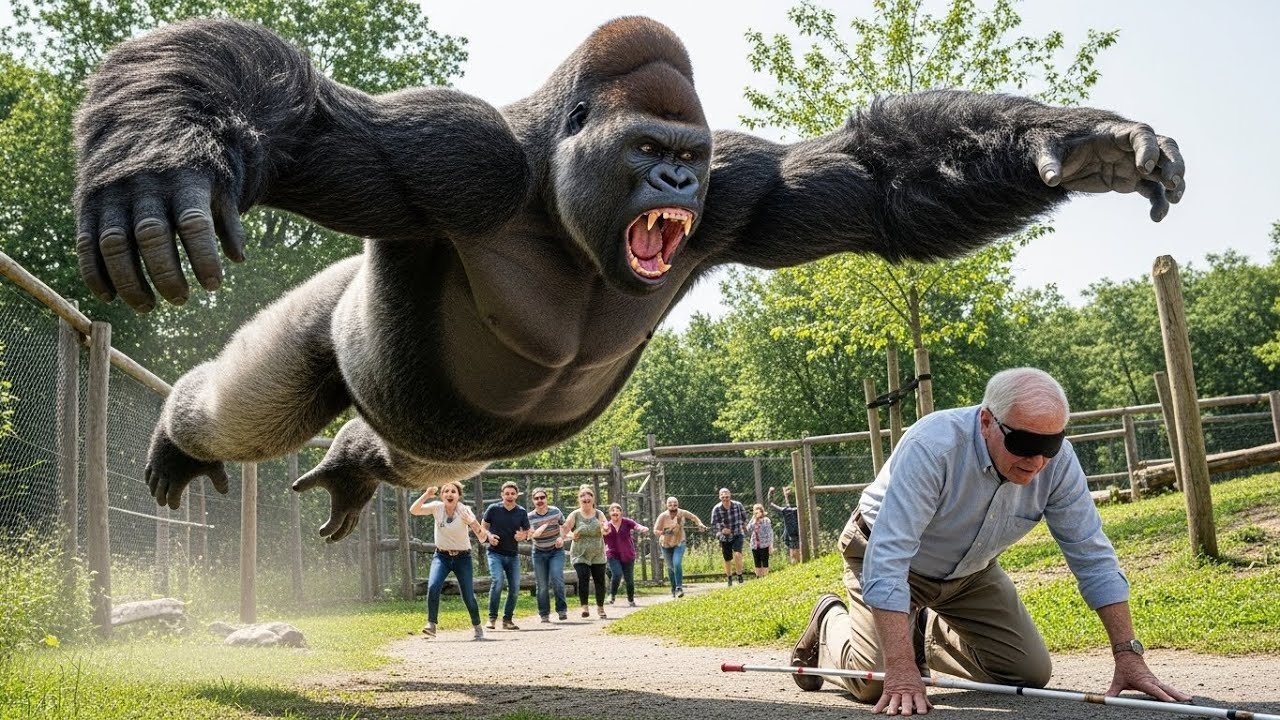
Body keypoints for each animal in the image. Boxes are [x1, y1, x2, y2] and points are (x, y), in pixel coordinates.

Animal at [72, 17, 1185, 542]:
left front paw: (1082, 142)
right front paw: (158, 149)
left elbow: (880, 184)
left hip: (439, 448)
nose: (674, 181)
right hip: (339, 330)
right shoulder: (452, 152)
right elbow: (304, 116)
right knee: (253, 396)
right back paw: (177, 429)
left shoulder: (744, 187)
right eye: (648, 147)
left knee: (399, 458)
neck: (564, 198)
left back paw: (350, 464)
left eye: (686, 155)